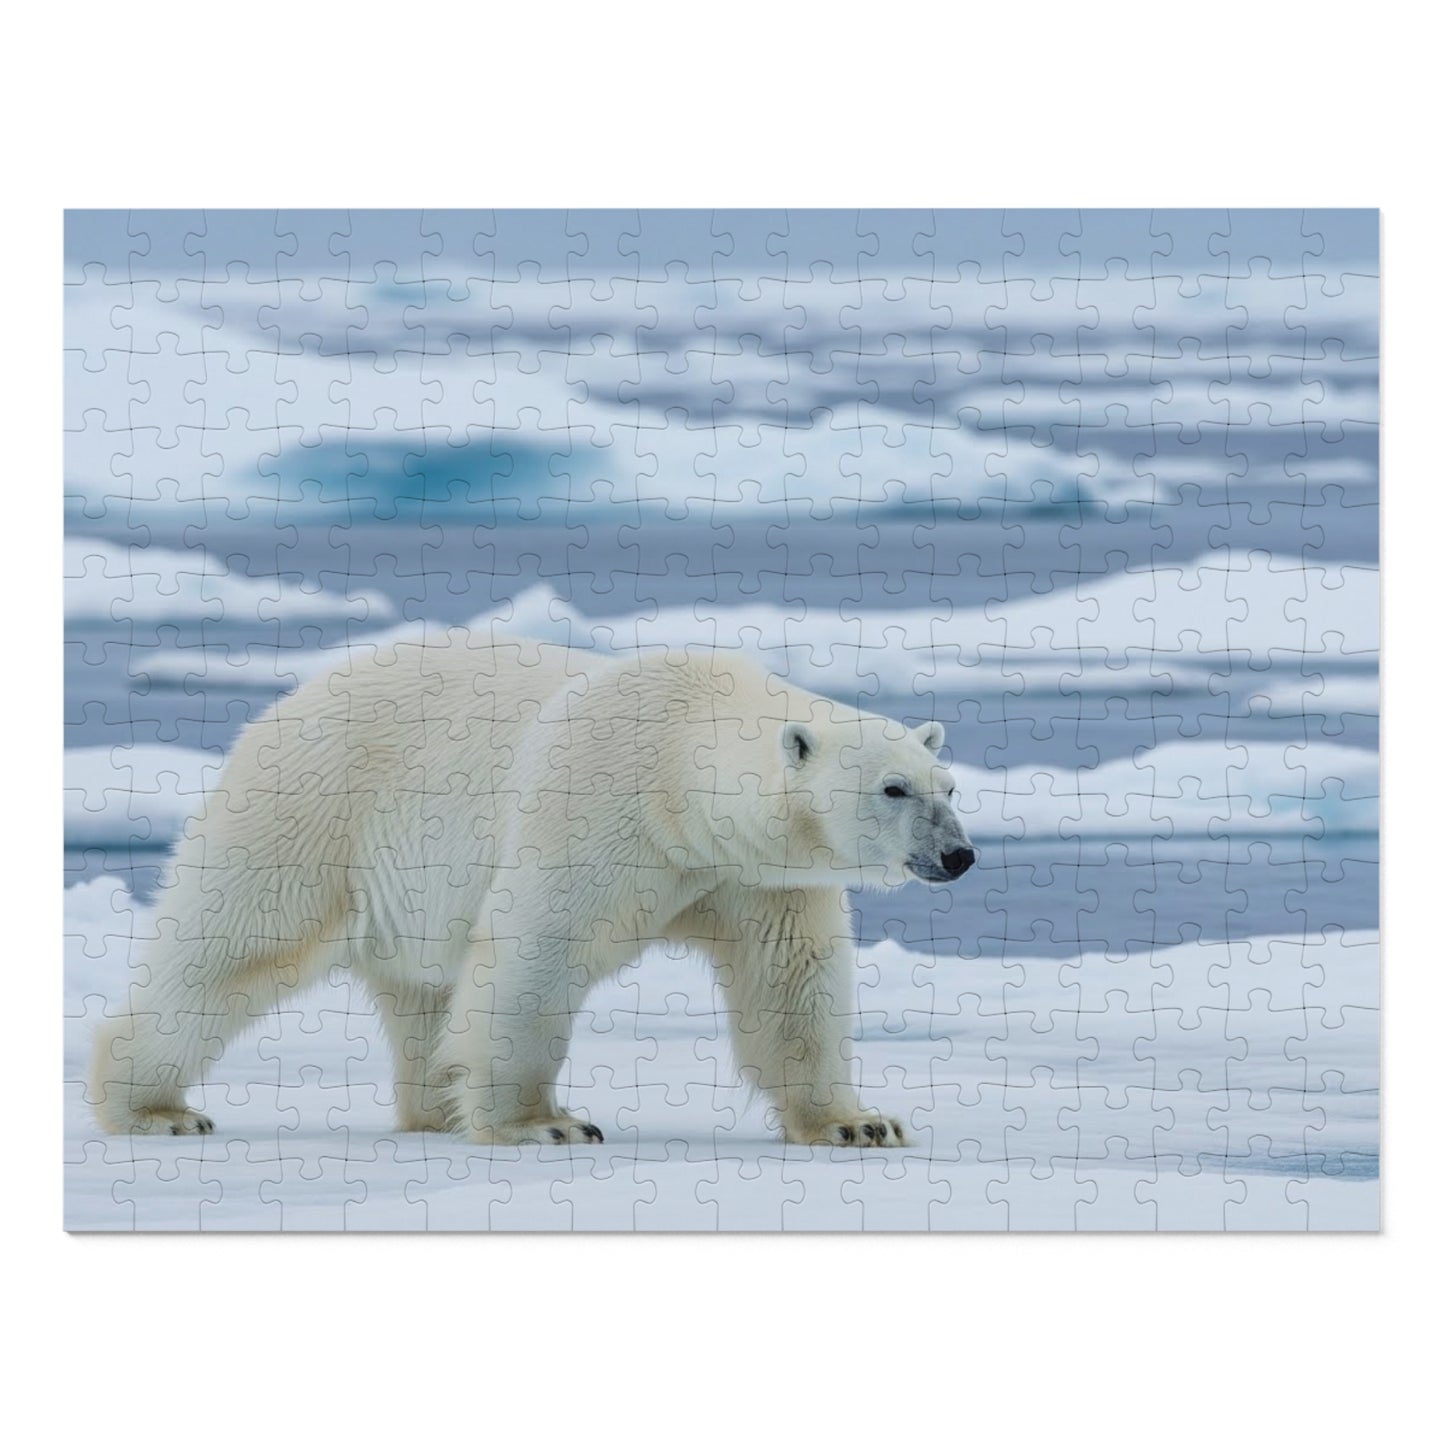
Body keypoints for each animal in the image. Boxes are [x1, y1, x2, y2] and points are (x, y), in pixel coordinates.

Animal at [89, 637, 976, 1147]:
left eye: (948, 783)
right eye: (893, 788)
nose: (959, 854)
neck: (679, 771)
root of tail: (284, 702)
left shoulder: (756, 874)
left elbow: (790, 981)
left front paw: (858, 1121)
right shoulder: (597, 805)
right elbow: (535, 955)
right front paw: (544, 1121)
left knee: (424, 994)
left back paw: (439, 1107)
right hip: (312, 814)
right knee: (228, 952)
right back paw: (153, 1107)